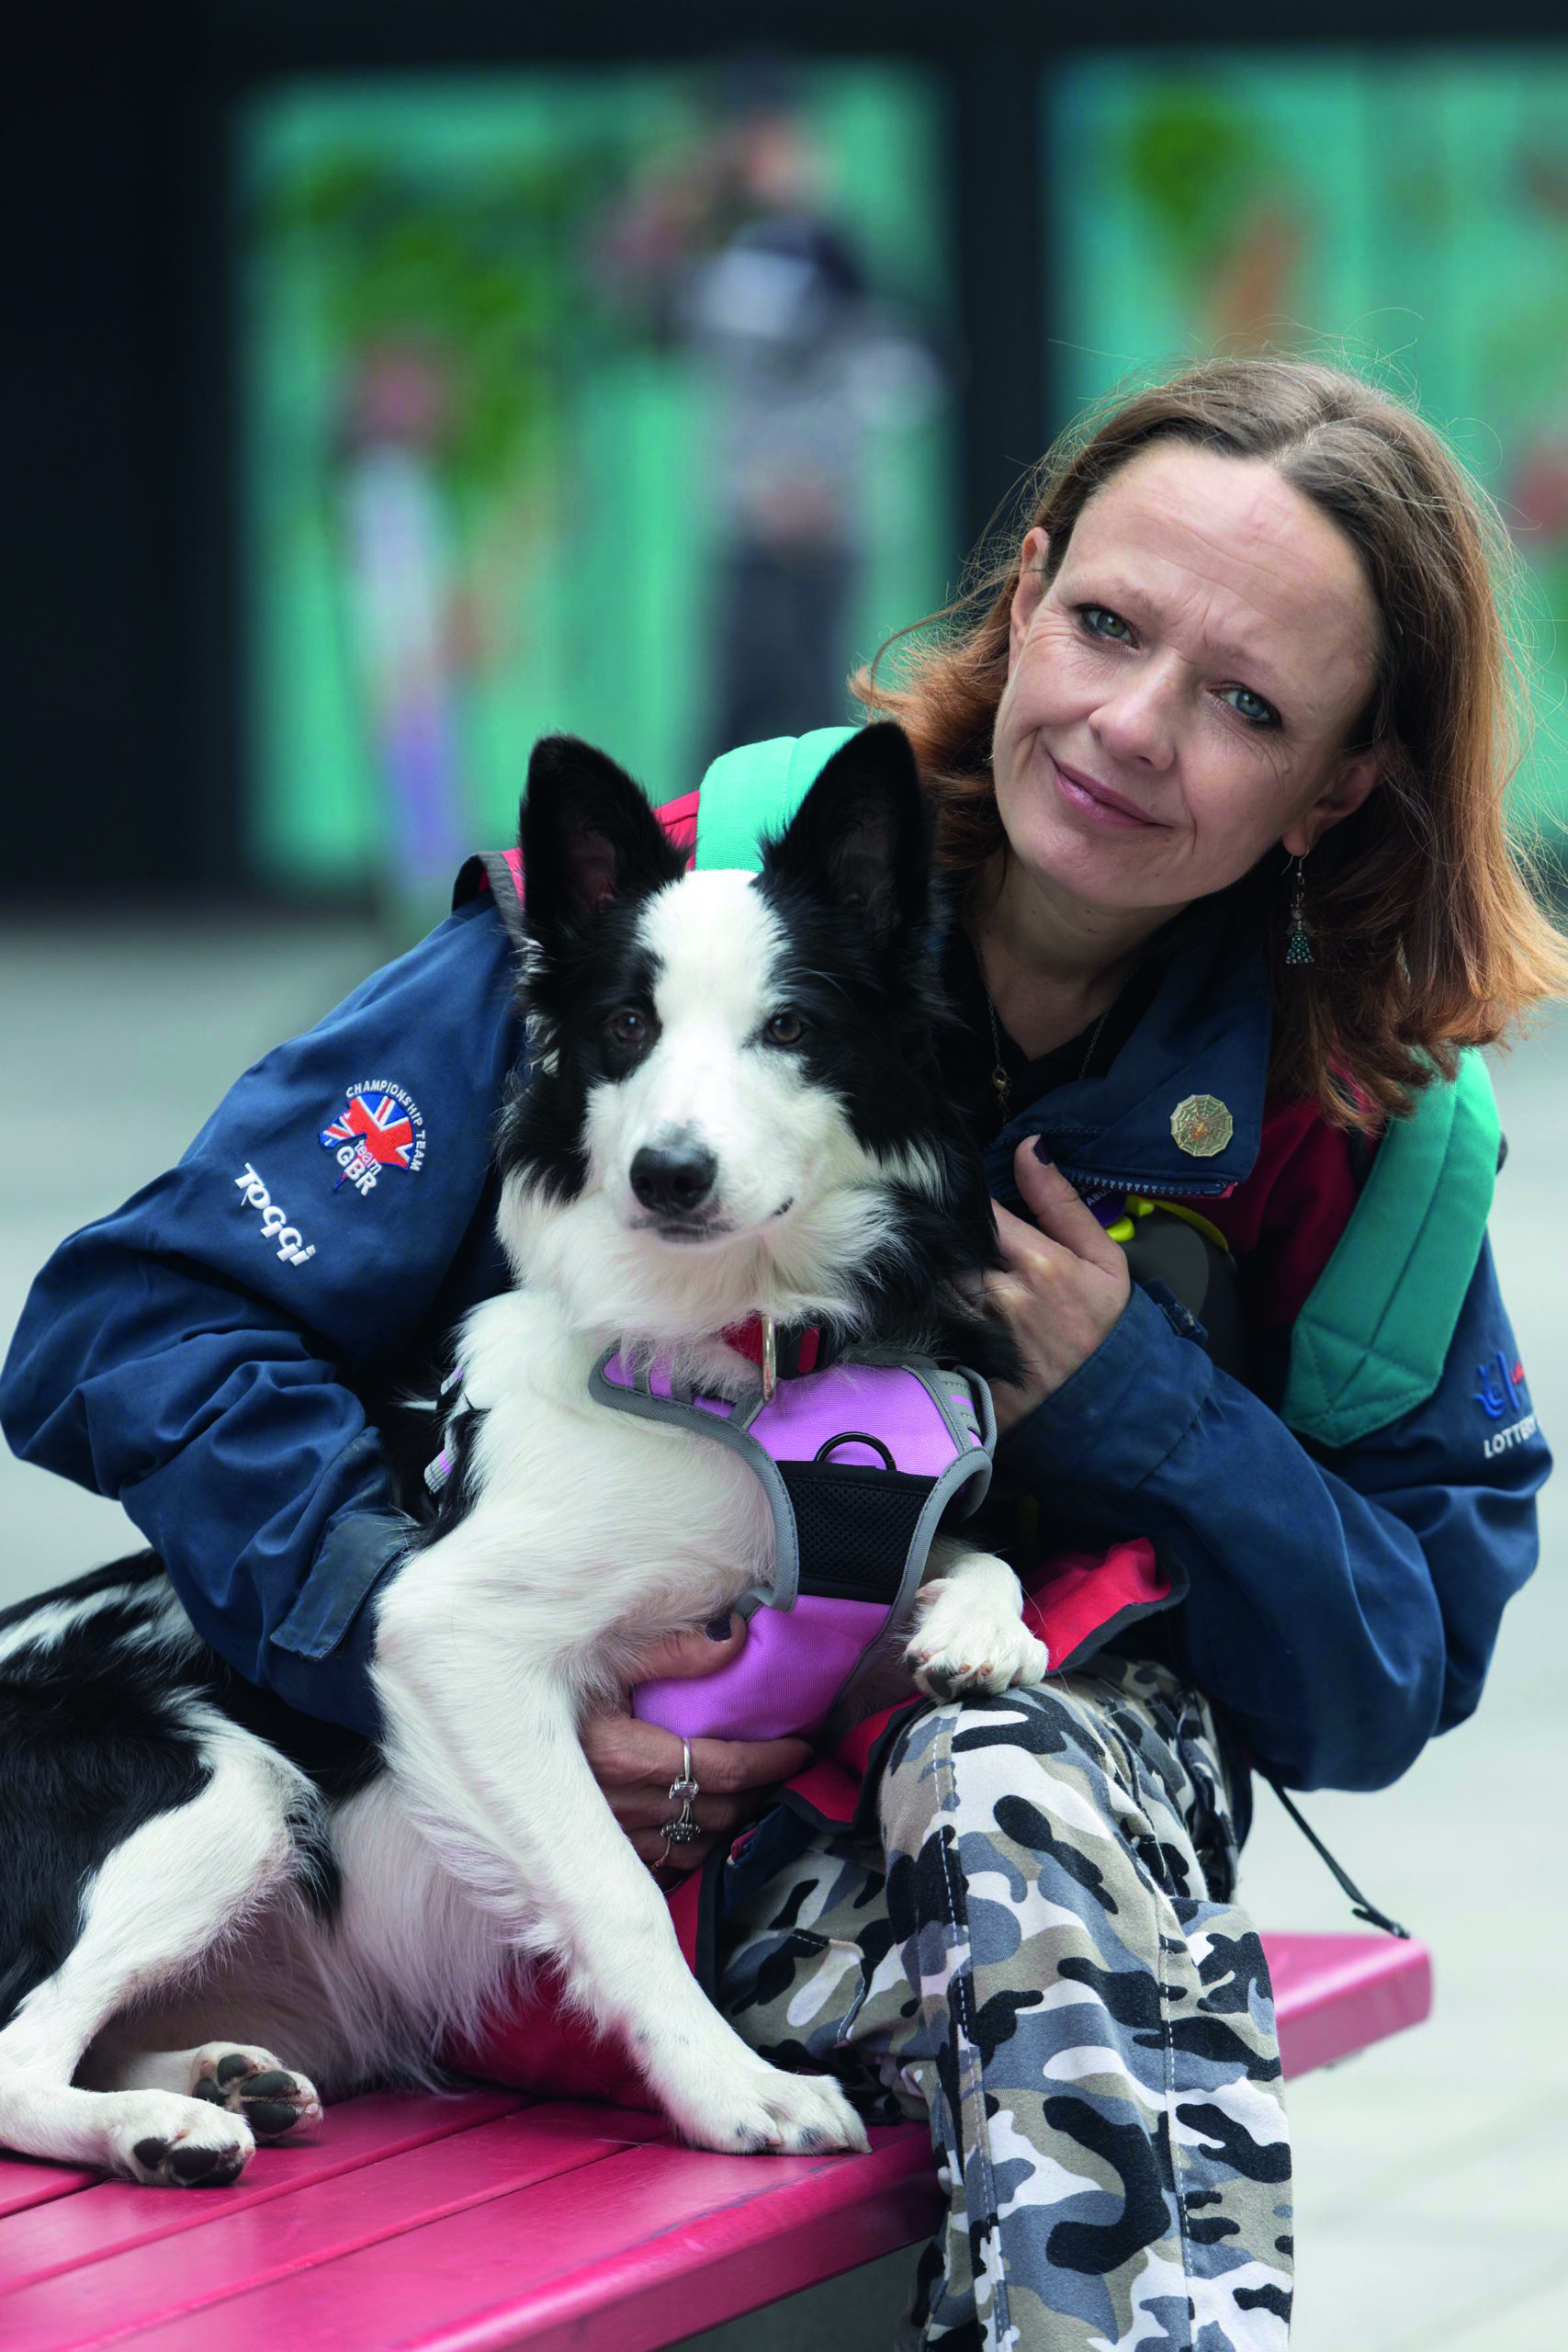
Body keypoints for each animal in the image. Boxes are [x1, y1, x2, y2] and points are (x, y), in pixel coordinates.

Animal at [3, 729, 1053, 2182]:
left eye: (790, 1027)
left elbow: (970, 1546)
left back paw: (214, 2081)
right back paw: (156, 2126)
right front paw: (730, 2087)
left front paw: (980, 1626)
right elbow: (612, 1890)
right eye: (625, 1028)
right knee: (15, 2055)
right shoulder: (449, 1638)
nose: (669, 1172)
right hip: (223, 1783)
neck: (735, 1361)